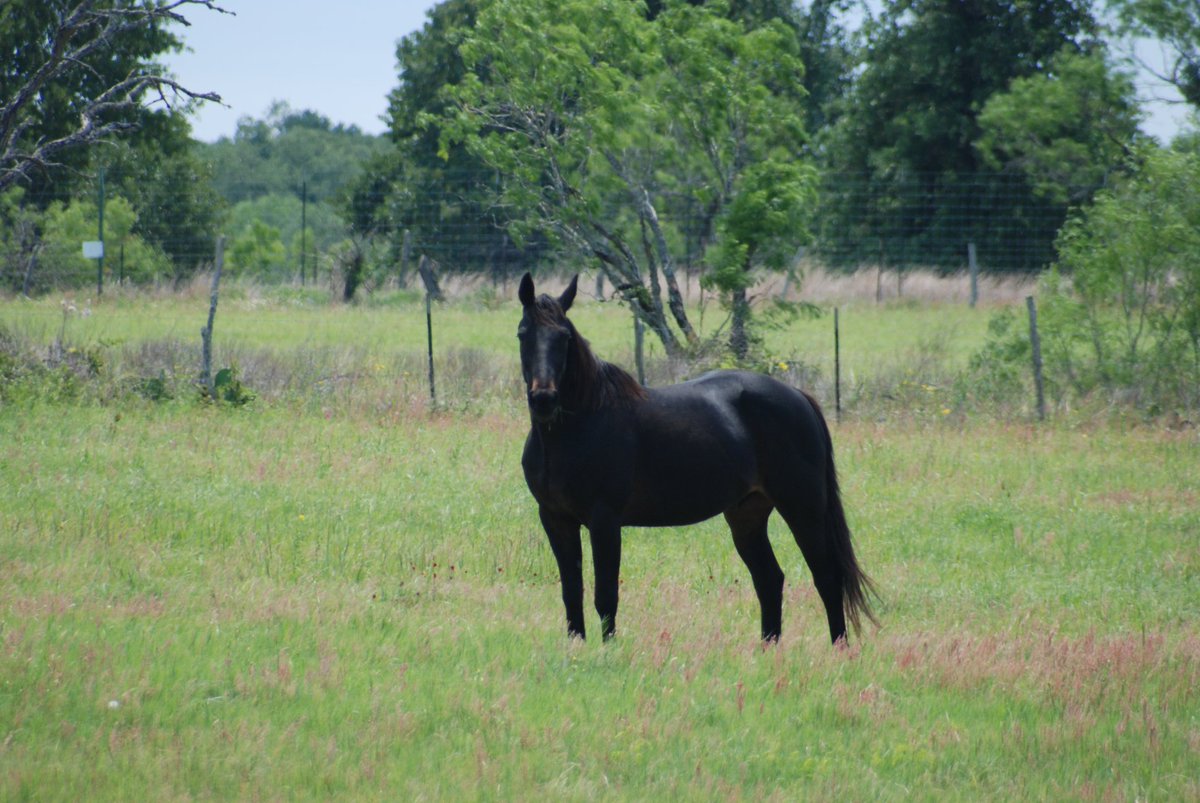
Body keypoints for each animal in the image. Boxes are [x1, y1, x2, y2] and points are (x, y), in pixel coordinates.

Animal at [517, 272, 876, 645]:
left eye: (564, 337)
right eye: (523, 333)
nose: (544, 399)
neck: (581, 425)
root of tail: (798, 396)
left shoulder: (605, 520)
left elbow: (605, 595)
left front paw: (608, 650)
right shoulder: (556, 519)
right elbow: (572, 592)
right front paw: (576, 646)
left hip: (804, 508)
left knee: (827, 578)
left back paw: (838, 649)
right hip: (747, 514)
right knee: (769, 579)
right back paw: (767, 649)